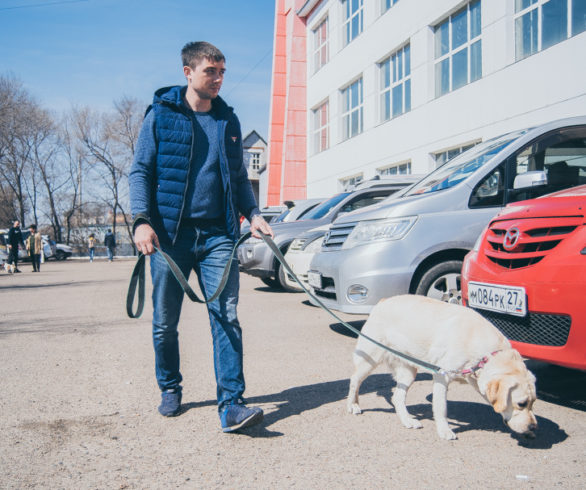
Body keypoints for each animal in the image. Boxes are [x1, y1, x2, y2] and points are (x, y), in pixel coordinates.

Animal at [344, 294, 536, 440]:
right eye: (521, 403)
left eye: (533, 402)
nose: (533, 427)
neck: (484, 351)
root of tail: (382, 301)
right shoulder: (442, 376)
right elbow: (441, 406)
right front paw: (444, 430)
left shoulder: (474, 377)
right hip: (369, 359)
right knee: (354, 380)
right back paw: (353, 405)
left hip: (408, 372)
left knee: (397, 397)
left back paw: (407, 420)